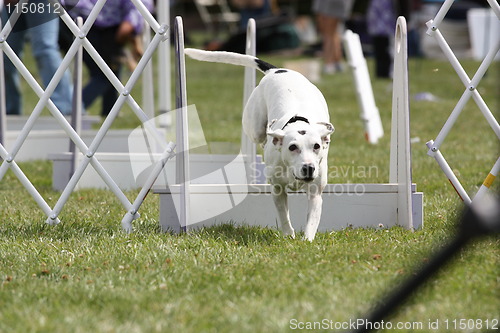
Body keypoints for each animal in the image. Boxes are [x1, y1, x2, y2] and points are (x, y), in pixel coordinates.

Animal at [186, 48, 334, 240]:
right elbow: (283, 216)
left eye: (316, 146)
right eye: (292, 147)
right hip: (254, 126)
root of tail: (277, 70)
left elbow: (312, 220)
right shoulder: (277, 190)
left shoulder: (315, 192)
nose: (308, 167)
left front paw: (306, 240)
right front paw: (289, 236)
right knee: (260, 136)